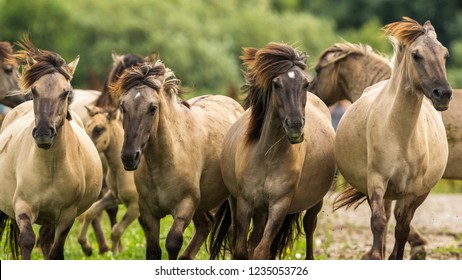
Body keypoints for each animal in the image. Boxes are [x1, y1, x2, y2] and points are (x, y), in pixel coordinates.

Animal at [76, 104, 139, 256]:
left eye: (99, 129)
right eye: (86, 125)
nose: (86, 149)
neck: (122, 171)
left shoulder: (135, 206)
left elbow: (116, 230)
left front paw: (115, 255)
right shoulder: (114, 197)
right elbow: (91, 212)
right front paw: (86, 246)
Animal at [110, 60, 244, 260]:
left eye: (152, 108)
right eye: (123, 106)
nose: (128, 157)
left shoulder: (185, 207)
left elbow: (172, 243)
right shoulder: (148, 212)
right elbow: (153, 251)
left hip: (230, 201)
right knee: (206, 225)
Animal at [209, 42, 336, 260]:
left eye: (305, 84)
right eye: (276, 84)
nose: (295, 126)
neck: (268, 158)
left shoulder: (279, 205)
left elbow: (261, 250)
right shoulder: (245, 203)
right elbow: (241, 249)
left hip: (313, 203)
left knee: (309, 226)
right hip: (245, 205)